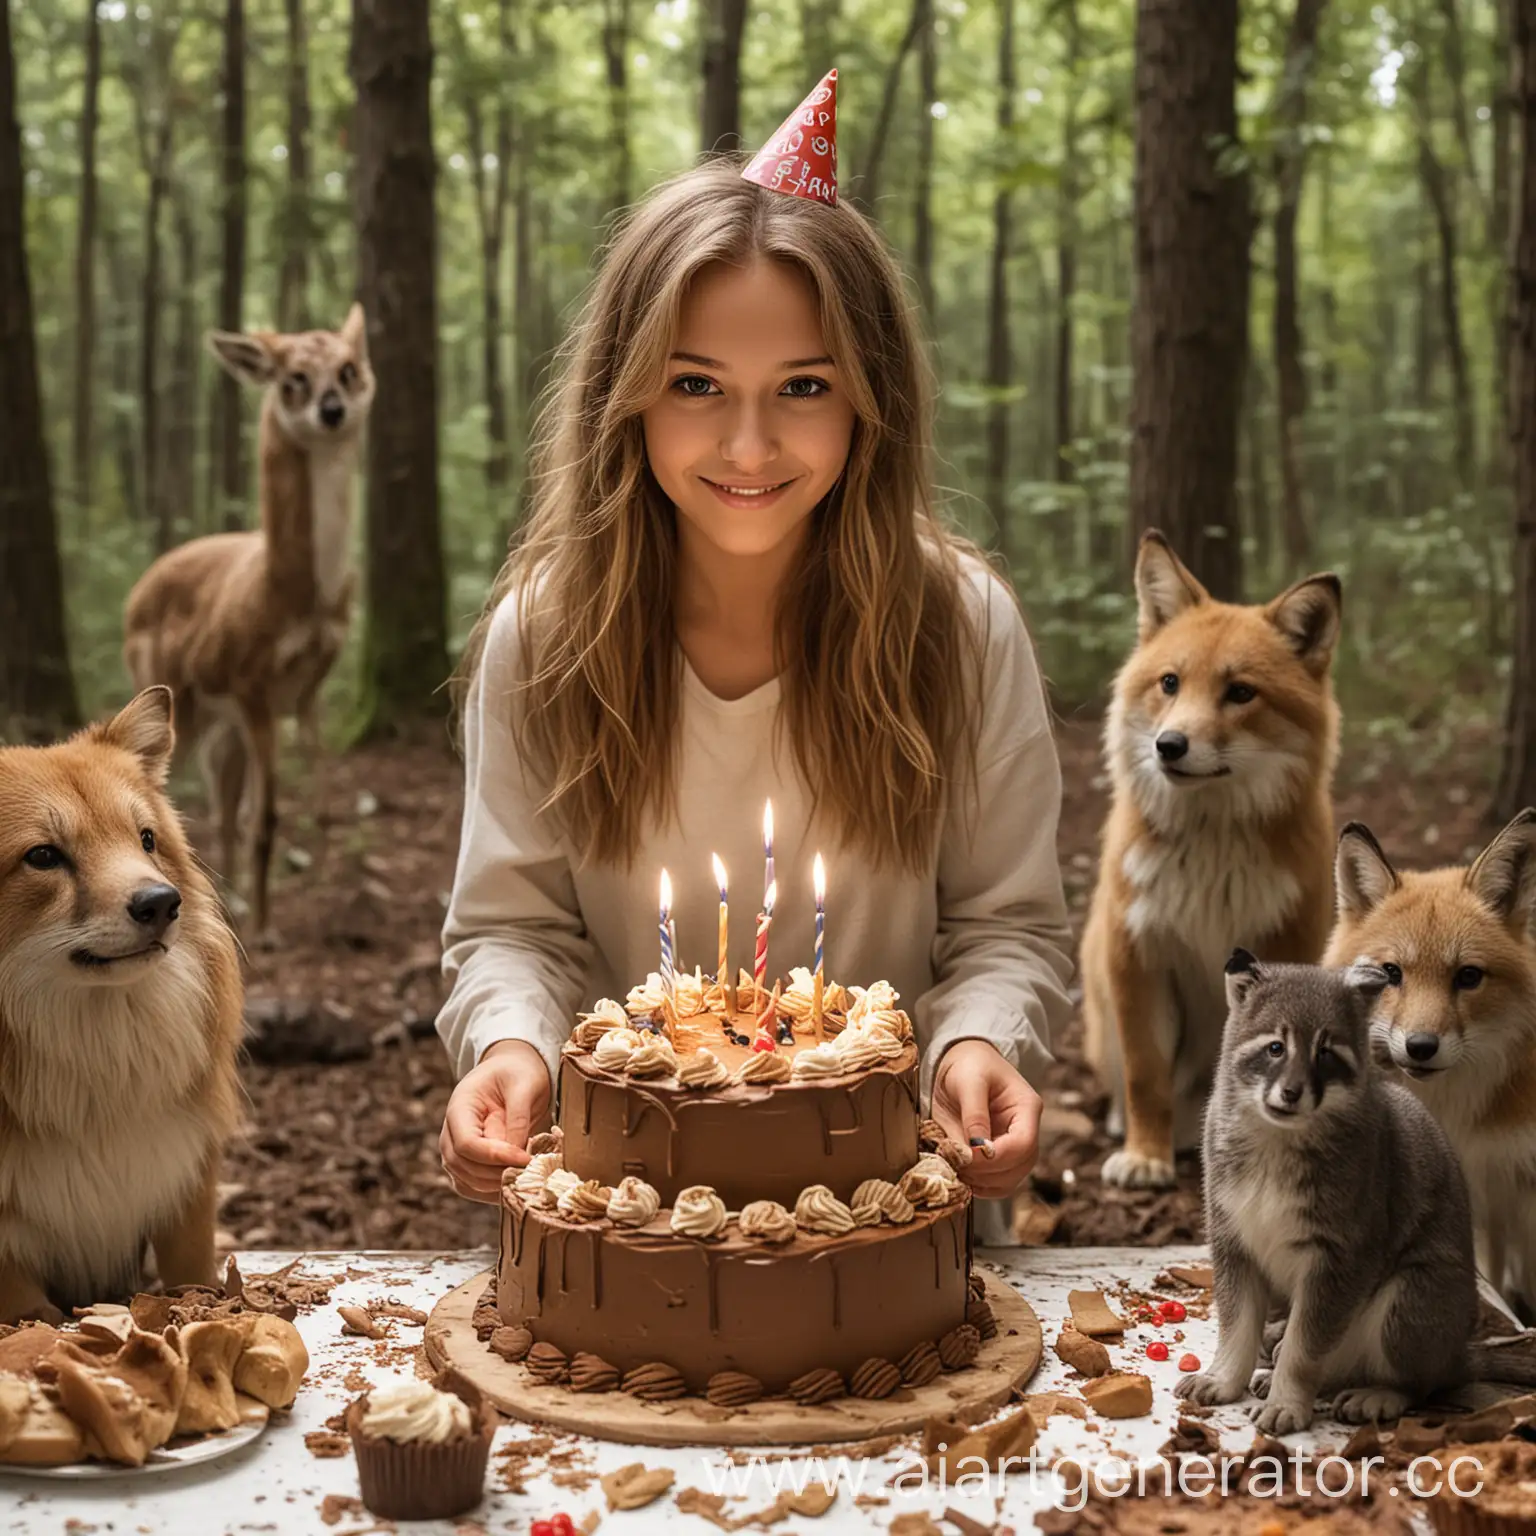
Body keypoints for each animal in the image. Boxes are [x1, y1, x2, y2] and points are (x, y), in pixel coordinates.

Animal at [0, 685, 242, 1320]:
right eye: (43, 856)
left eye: (146, 839)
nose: (162, 902)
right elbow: (38, 1317)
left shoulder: (182, 1176)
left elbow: (193, 1273)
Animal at [124, 304, 376, 940]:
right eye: (292, 378)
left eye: (349, 368)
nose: (332, 409)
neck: (287, 592)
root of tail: (136, 593)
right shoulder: (252, 686)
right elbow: (268, 815)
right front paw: (265, 927)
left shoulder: (308, 688)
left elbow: (312, 801)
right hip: (180, 698)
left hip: (221, 726)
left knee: (220, 803)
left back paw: (226, 902)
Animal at [1081, 528, 1345, 1185]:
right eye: (1170, 683)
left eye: (1240, 693)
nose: (1169, 745)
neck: (1211, 857)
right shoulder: (1140, 955)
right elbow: (1146, 1077)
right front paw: (1146, 1158)